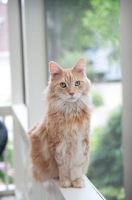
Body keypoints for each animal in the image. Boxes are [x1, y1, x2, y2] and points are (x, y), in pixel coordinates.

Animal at [27, 57, 92, 188]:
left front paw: (77, 181)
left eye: (77, 83)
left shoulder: (80, 142)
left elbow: (76, 166)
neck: (70, 112)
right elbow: (63, 167)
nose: (71, 93)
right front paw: (65, 181)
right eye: (63, 85)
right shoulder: (58, 144)